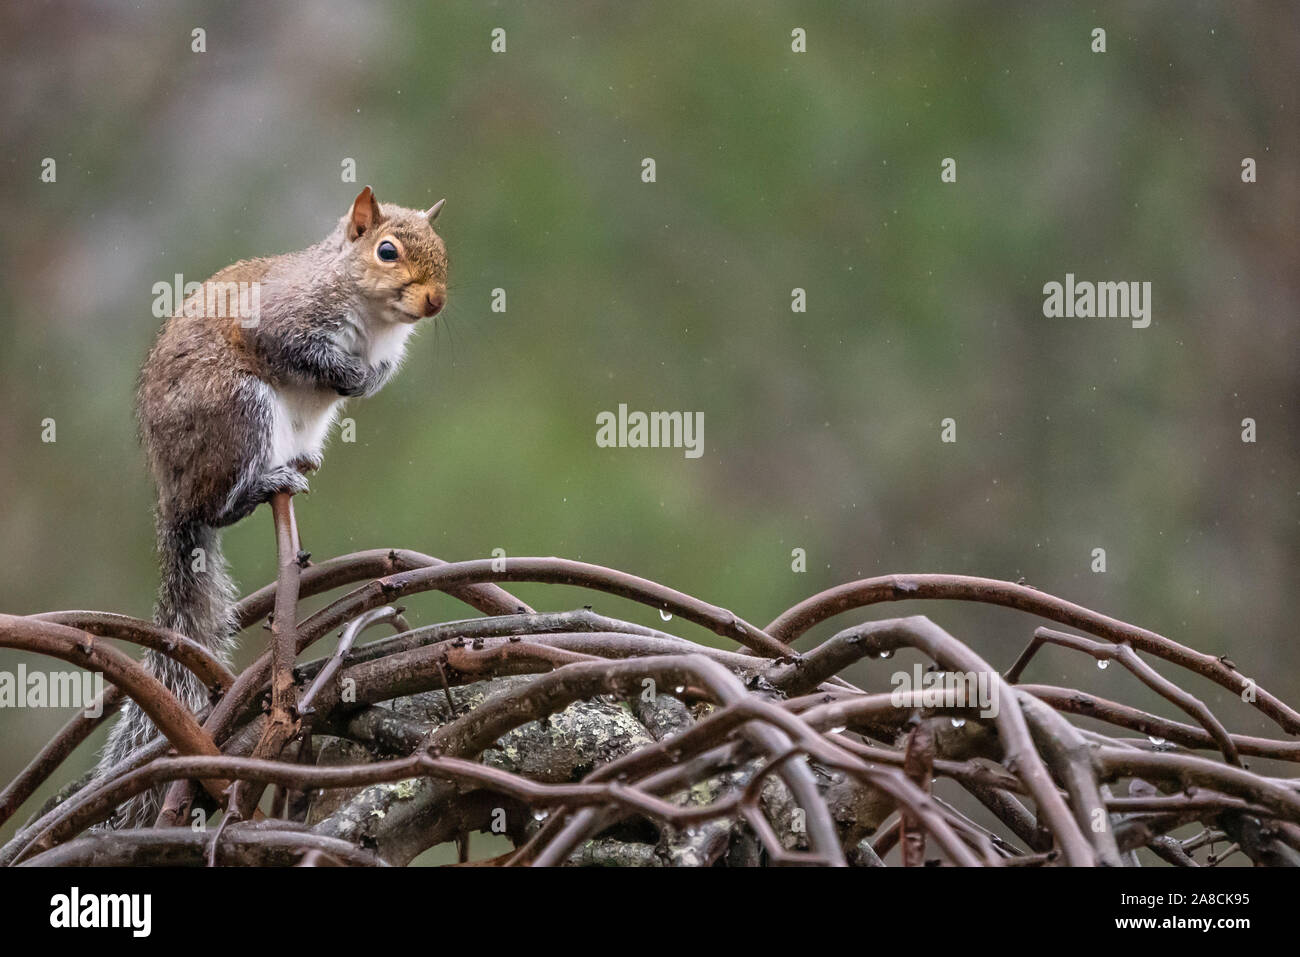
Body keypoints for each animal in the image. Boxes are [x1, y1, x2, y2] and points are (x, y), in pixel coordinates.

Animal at [96, 188, 447, 832]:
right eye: (386, 251)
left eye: (442, 249)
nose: (435, 300)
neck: (373, 320)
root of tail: (172, 492)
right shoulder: (284, 323)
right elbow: (301, 354)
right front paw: (348, 373)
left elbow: (381, 374)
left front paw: (369, 378)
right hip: (239, 406)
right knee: (219, 507)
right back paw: (264, 484)